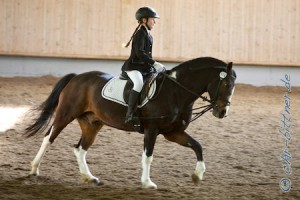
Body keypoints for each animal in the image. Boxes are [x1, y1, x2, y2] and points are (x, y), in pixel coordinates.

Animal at [24, 56, 237, 189]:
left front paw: (198, 175)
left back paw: (89, 178)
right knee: (48, 138)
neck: (176, 92)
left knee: (80, 149)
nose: (222, 112)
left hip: (92, 124)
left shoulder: (173, 133)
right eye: (226, 84)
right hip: (65, 114)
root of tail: (77, 77)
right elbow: (148, 156)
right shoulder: (152, 130)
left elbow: (198, 146)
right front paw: (147, 183)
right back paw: (34, 169)